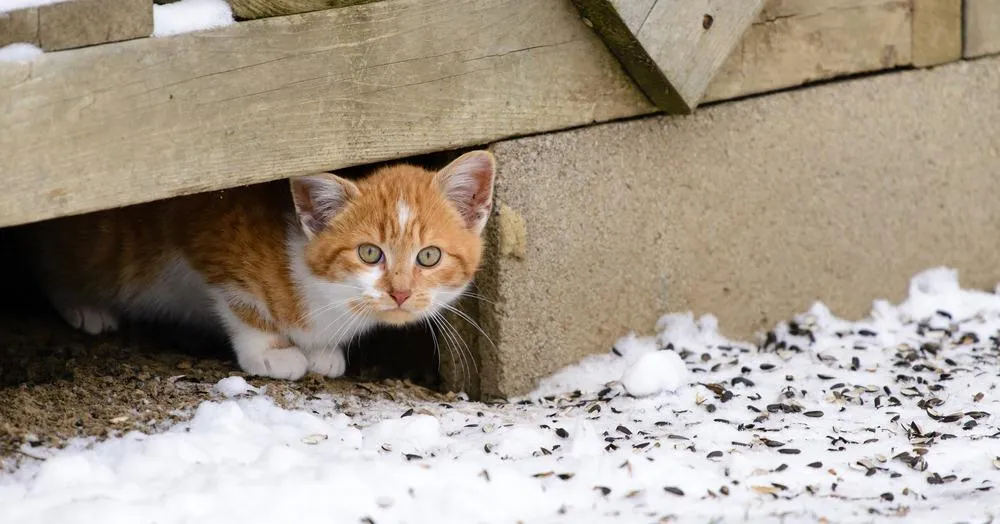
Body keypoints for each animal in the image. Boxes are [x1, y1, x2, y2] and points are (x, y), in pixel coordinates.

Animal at [19, 151, 496, 380]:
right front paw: (271, 351)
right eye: (369, 253)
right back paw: (84, 307)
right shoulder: (208, 231)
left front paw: (322, 351)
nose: (399, 292)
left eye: (429, 256)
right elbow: (241, 300)